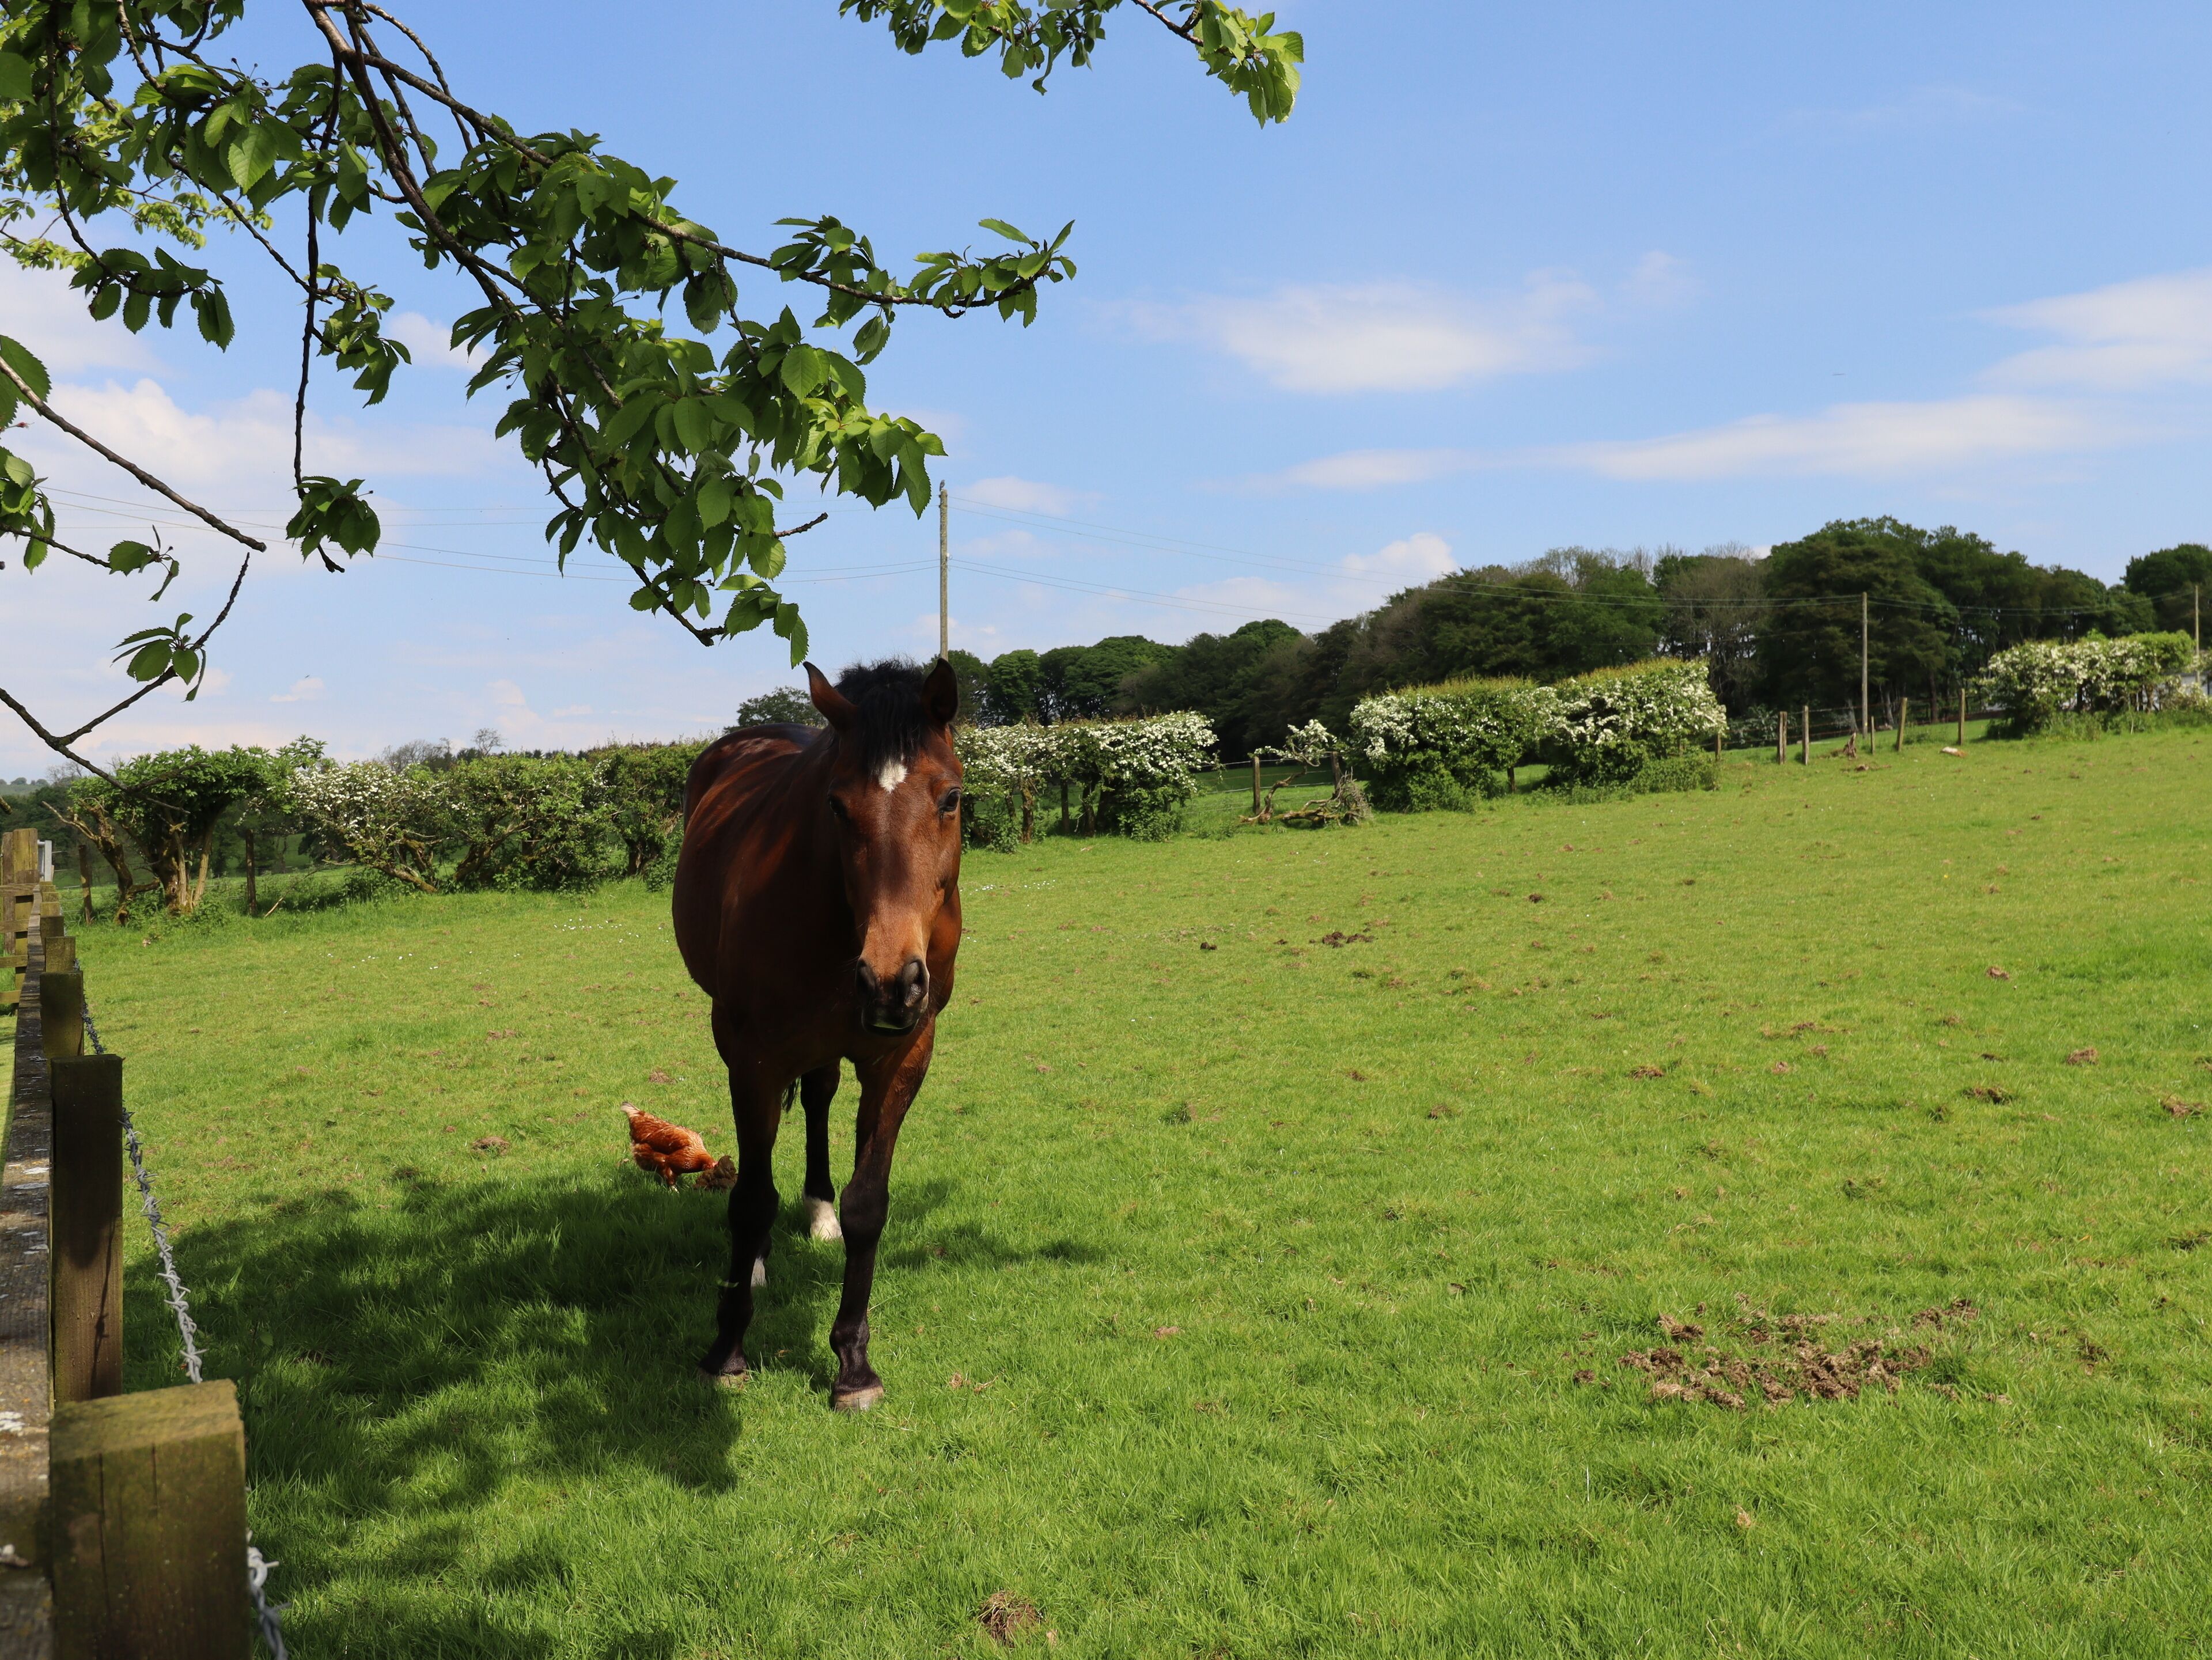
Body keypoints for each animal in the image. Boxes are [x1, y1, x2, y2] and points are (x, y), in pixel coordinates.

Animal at [671, 656, 964, 1410]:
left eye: (951, 797)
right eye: (836, 805)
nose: (892, 981)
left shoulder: (903, 1055)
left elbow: (870, 1203)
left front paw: (854, 1364)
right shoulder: (753, 1056)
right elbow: (749, 1201)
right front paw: (727, 1349)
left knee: (821, 1093)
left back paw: (818, 1210)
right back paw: (759, 1261)